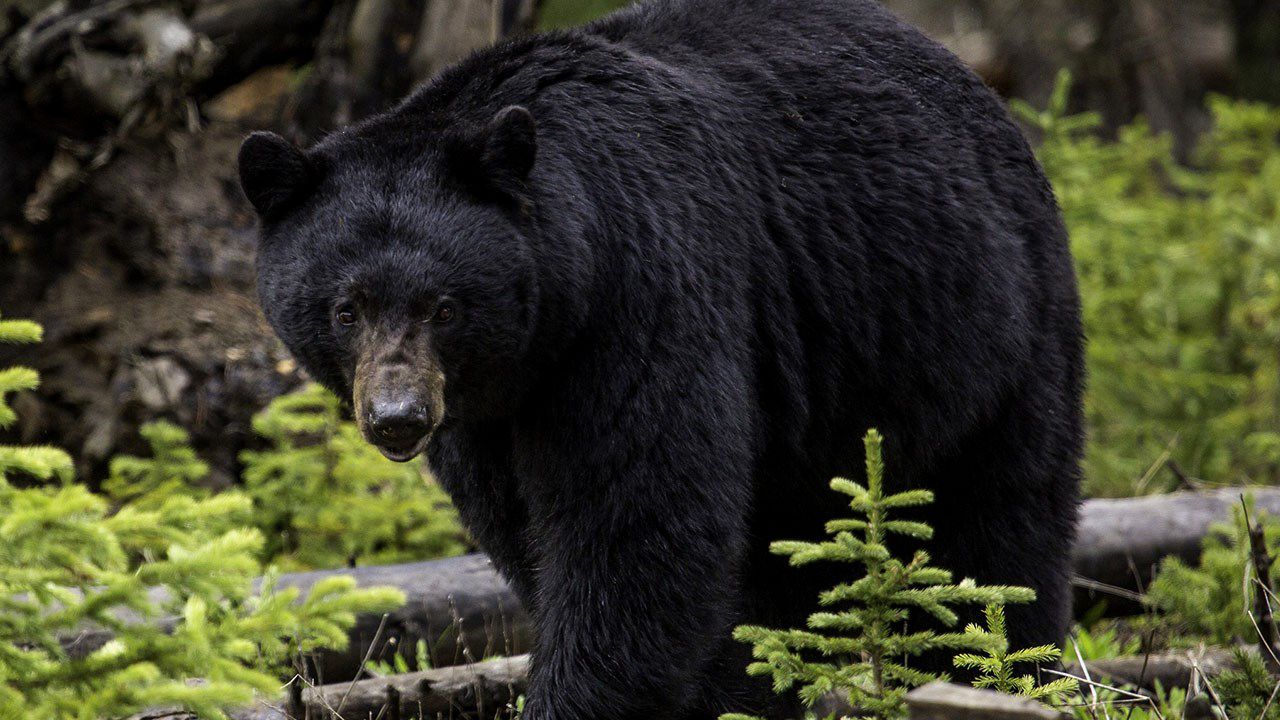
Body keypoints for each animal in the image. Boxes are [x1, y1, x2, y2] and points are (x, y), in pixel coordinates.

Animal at [238, 1, 1080, 712]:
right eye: (345, 309)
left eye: (444, 306)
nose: (398, 418)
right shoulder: (485, 417)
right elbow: (529, 533)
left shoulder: (643, 296)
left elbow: (637, 529)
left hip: (987, 332)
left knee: (1000, 531)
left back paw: (1001, 669)